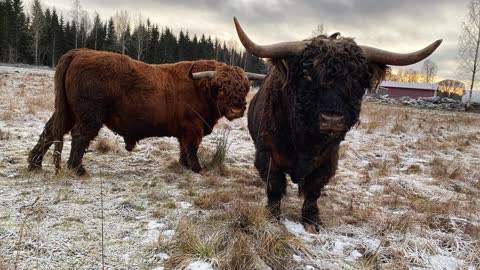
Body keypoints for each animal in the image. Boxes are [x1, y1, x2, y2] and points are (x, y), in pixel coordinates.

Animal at [28, 48, 266, 175]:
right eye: (221, 87)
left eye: (245, 87)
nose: (237, 108)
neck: (201, 87)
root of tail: (79, 52)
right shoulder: (193, 128)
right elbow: (192, 148)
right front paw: (197, 168)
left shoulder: (185, 131)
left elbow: (183, 148)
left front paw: (184, 165)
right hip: (89, 116)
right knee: (79, 136)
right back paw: (77, 169)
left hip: (67, 111)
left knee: (51, 131)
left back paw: (34, 164)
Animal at [233, 16, 442, 233]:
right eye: (306, 74)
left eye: (356, 79)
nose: (332, 119)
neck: (304, 143)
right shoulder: (267, 152)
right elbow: (274, 185)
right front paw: (272, 216)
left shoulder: (328, 160)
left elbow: (313, 191)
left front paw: (312, 221)